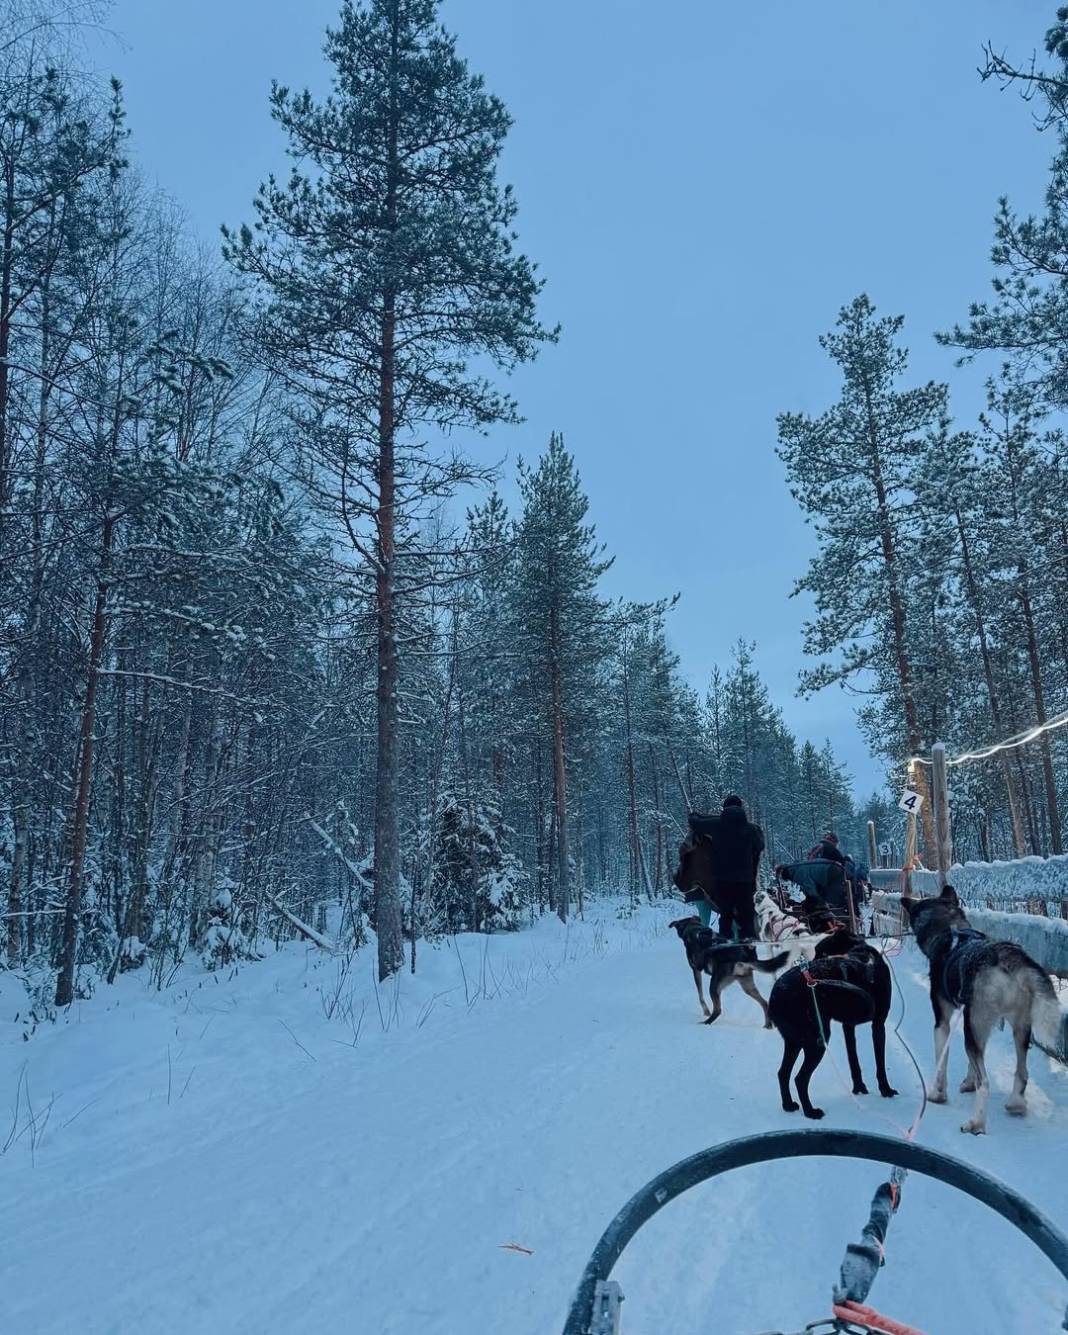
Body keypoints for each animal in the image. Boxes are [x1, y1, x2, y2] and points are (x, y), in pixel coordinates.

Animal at [774, 929, 897, 1116]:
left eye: (822, 953)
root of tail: (776, 994)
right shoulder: (878, 1024)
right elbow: (880, 1064)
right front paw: (886, 1090)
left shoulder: (849, 1026)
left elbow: (854, 1061)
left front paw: (859, 1087)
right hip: (817, 1040)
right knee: (800, 1079)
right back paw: (810, 1112)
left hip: (794, 1041)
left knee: (783, 1073)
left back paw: (788, 1105)